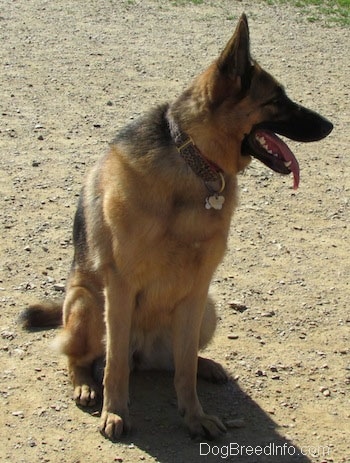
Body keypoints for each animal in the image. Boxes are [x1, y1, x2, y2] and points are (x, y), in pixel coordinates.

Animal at [22, 14, 334, 442]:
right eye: (277, 100)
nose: (331, 125)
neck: (194, 164)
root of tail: (144, 350)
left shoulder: (197, 289)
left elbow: (183, 369)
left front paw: (194, 416)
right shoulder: (120, 287)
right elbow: (114, 364)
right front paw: (115, 412)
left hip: (208, 309)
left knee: (174, 362)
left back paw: (207, 365)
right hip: (88, 302)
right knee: (80, 354)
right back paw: (85, 384)